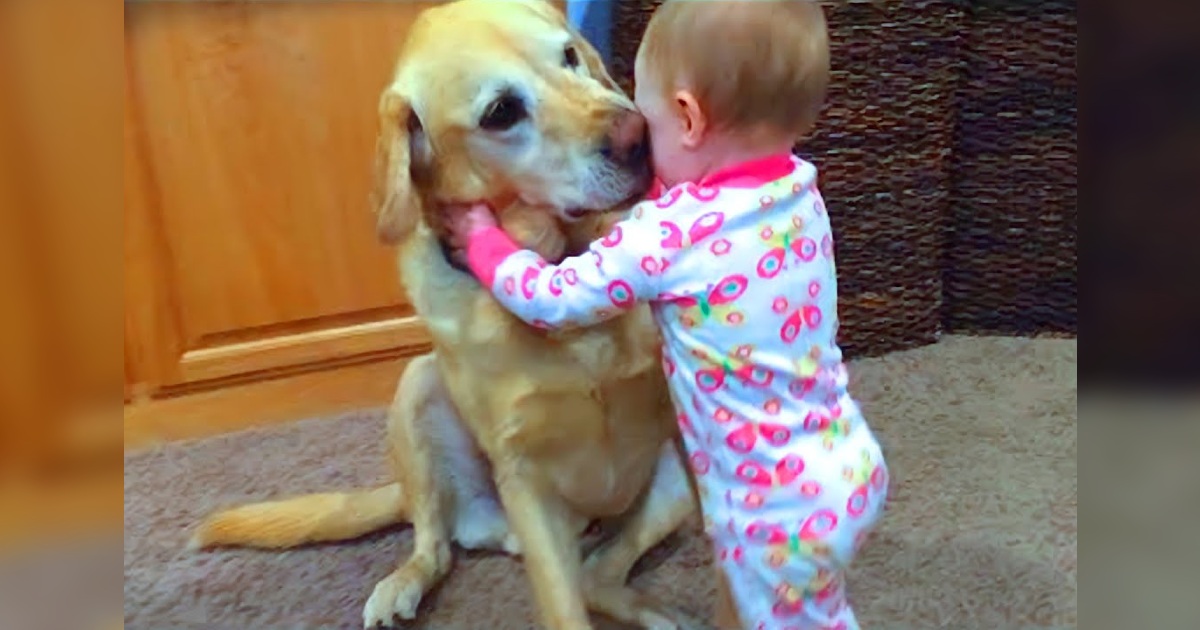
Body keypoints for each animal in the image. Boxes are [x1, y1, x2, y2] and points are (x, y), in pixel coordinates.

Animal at [190, 2, 700, 624]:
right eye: (501, 112)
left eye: (569, 55)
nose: (639, 136)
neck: (559, 260)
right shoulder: (523, 474)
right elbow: (560, 606)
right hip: (419, 390)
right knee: (440, 543)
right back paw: (401, 584)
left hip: (667, 490)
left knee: (596, 573)